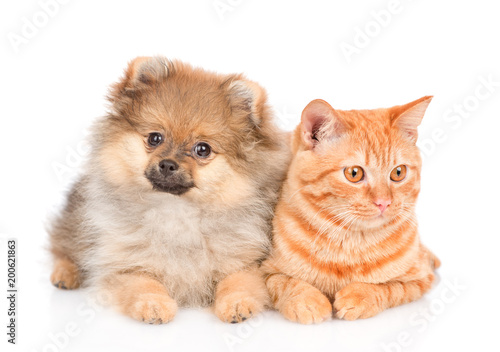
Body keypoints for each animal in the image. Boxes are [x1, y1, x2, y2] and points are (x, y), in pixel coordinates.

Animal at [47, 56, 290, 324]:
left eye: (202, 149)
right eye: (155, 138)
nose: (167, 164)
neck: (177, 211)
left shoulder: (247, 260)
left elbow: (238, 281)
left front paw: (237, 303)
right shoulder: (123, 264)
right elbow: (142, 283)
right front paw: (153, 305)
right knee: (62, 245)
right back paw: (65, 274)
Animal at [264, 95, 440, 322]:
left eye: (398, 172)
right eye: (354, 173)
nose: (384, 202)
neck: (349, 243)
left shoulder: (420, 279)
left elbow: (389, 288)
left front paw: (360, 296)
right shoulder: (264, 272)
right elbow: (285, 282)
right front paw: (307, 301)